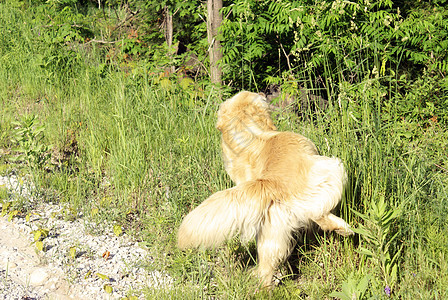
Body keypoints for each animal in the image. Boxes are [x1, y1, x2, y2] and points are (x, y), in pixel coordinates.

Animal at [178, 91, 354, 286]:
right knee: (320, 215)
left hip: (270, 231)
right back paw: (344, 229)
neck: (252, 133)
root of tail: (271, 182)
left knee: (267, 265)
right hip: (332, 168)